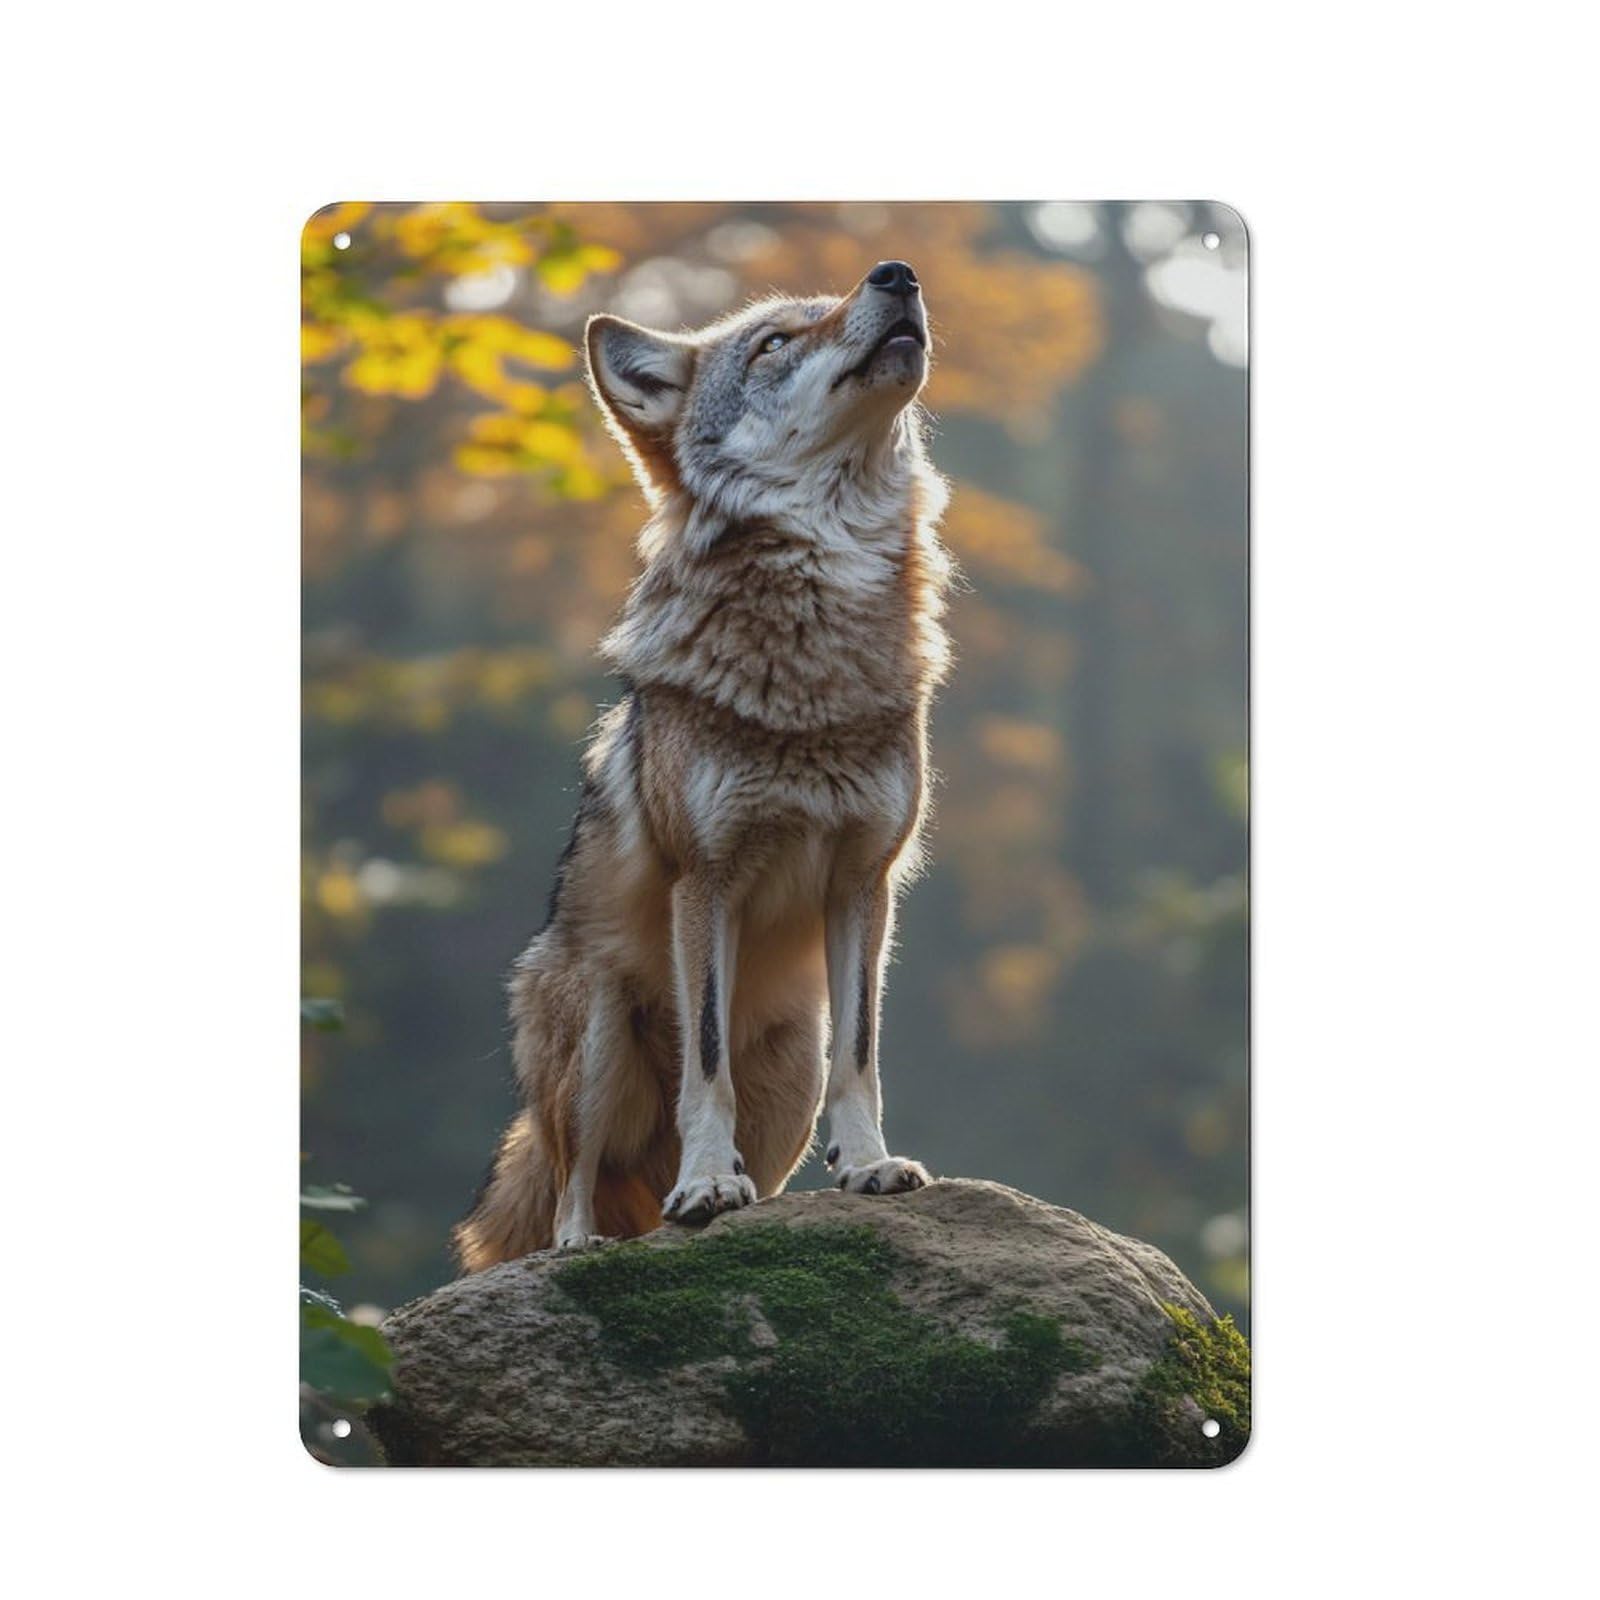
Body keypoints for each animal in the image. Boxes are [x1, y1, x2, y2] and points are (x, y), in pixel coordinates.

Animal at [454, 259, 953, 1269]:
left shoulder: (864, 883)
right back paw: (587, 1245)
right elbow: (706, 1061)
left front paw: (871, 1166)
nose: (897, 275)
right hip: (596, 1039)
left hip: (792, 1069)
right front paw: (706, 1183)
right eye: (774, 343)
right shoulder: (705, 881)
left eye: (832, 308)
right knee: (571, 1185)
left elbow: (863, 1057)